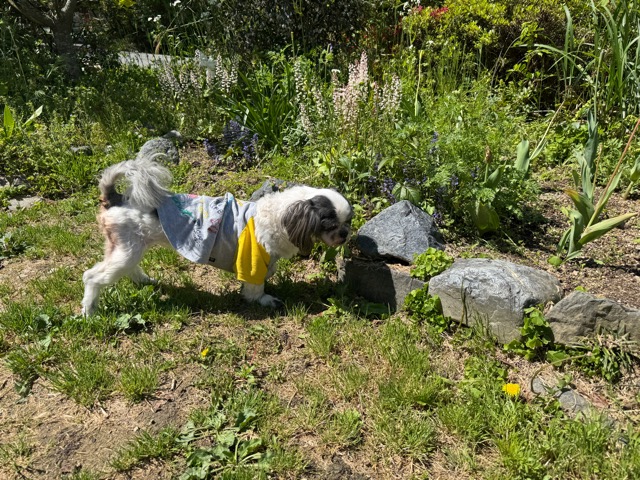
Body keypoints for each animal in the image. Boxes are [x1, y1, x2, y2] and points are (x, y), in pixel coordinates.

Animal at [81, 158, 352, 316]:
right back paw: (89, 311)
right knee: (92, 277)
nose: (345, 234)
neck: (280, 215)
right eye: (330, 224)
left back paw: (144, 281)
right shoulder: (252, 259)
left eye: (347, 222)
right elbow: (255, 287)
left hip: (129, 248)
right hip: (127, 249)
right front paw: (264, 300)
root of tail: (115, 198)